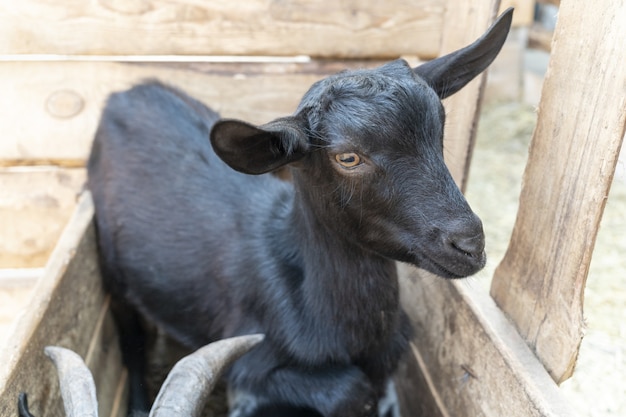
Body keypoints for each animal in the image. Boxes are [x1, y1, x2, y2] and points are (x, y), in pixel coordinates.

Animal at [89, 9, 512, 416]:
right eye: (348, 157)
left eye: (439, 127)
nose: (470, 243)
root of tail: (123, 94)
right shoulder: (249, 360)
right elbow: (349, 390)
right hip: (112, 265)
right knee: (131, 341)